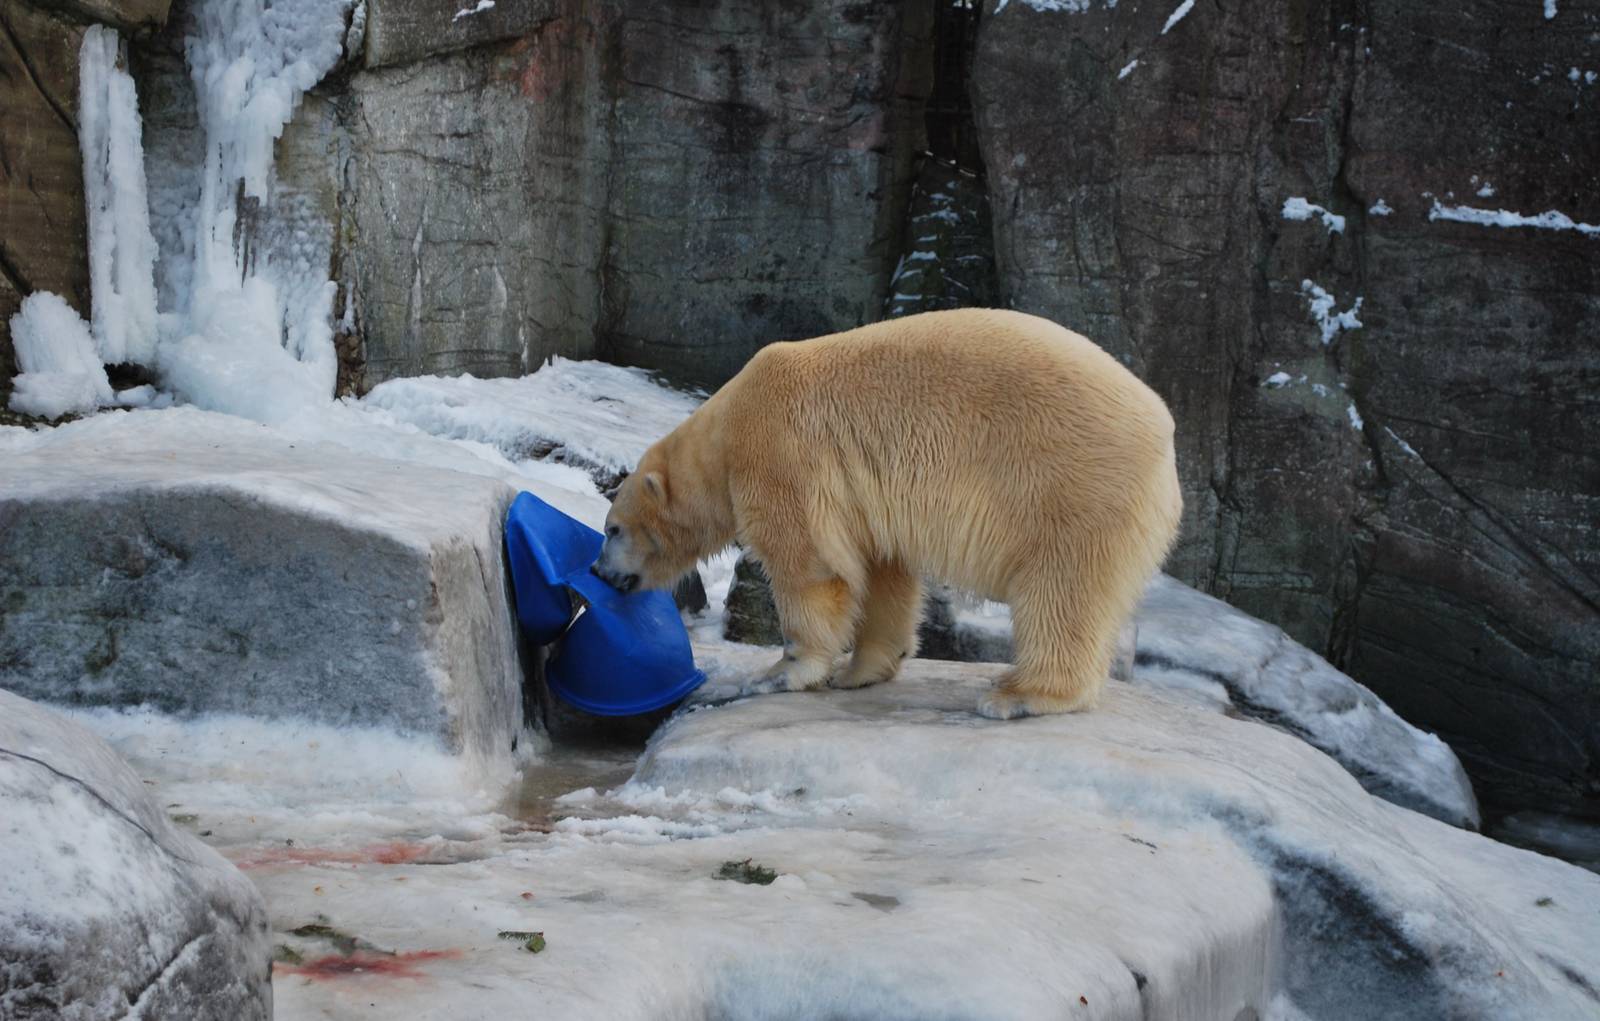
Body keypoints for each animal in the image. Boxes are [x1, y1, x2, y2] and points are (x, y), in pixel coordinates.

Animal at [592, 307, 1183, 718]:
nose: (598, 571)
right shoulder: (862, 495)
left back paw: (1018, 695)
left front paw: (782, 671)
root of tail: (1164, 435)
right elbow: (882, 572)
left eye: (612, 528)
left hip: (1071, 486)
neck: (724, 429)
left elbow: (811, 566)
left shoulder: (781, 455)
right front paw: (862, 671)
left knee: (1062, 590)